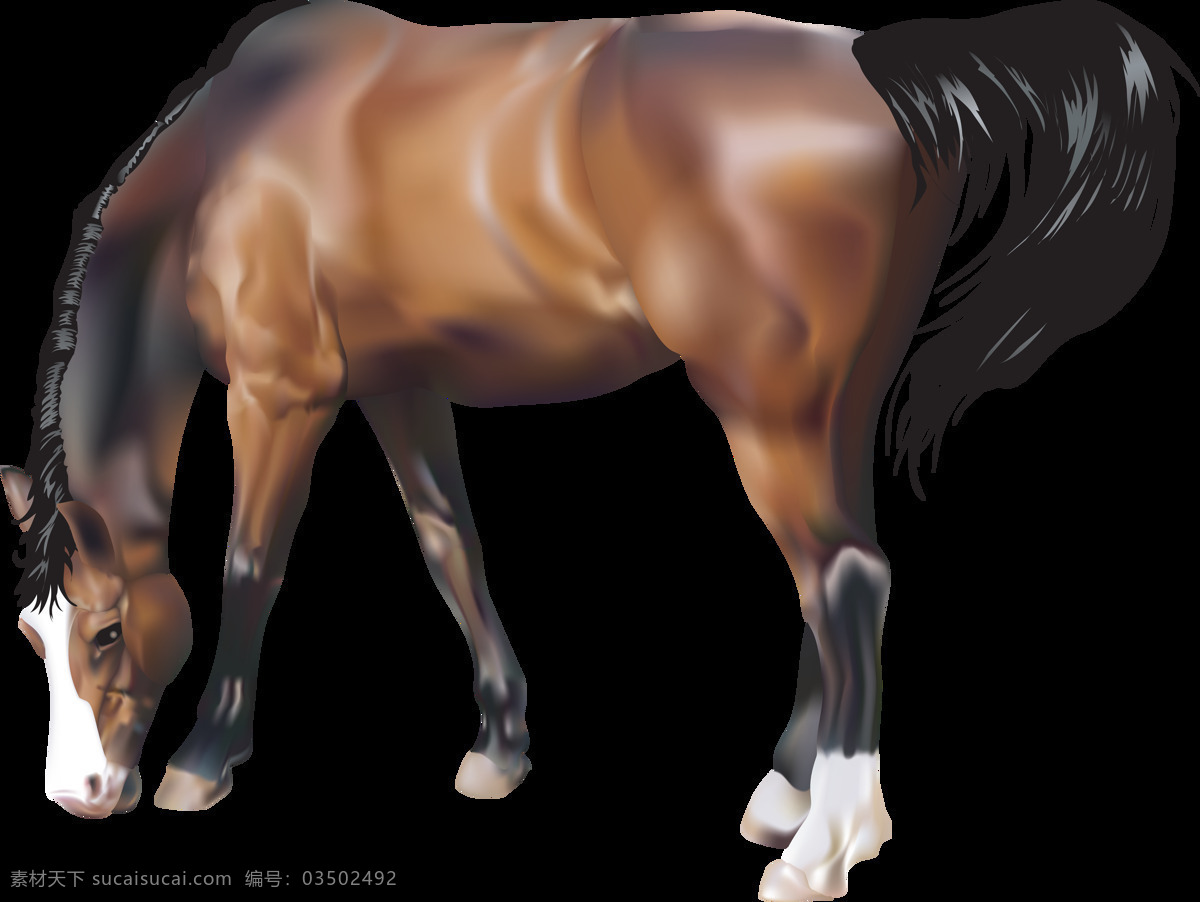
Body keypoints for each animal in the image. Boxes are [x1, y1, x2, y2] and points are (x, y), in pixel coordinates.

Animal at [4, 1, 1195, 898]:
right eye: (32, 635)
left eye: (104, 631)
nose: (76, 793)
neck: (236, 159)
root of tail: (870, 65)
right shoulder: (399, 384)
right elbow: (450, 545)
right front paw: (499, 746)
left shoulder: (280, 392)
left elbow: (252, 566)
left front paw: (203, 761)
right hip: (829, 404)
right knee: (834, 578)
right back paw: (787, 795)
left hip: (768, 408)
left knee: (844, 576)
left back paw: (825, 847)